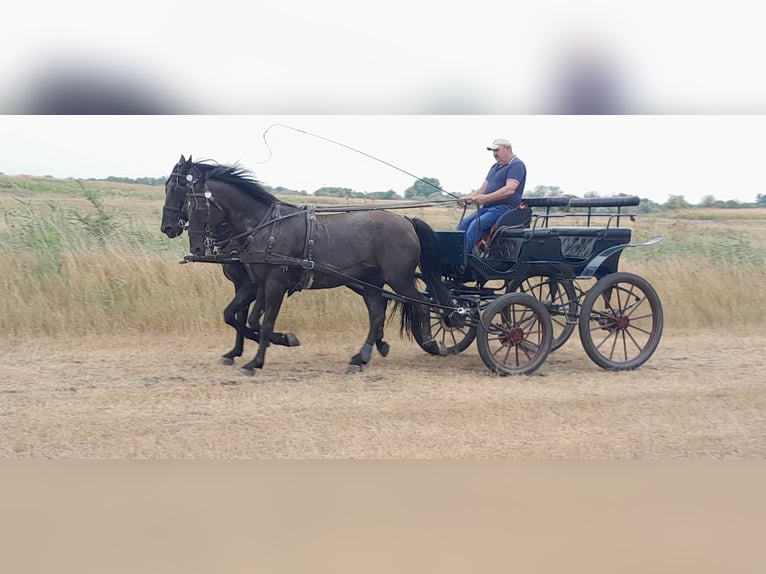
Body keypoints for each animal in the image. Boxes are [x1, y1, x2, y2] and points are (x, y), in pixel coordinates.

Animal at [162, 155, 300, 366]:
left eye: (179, 188)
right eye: (166, 186)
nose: (167, 227)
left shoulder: (251, 285)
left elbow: (234, 316)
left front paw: (280, 339)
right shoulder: (240, 284)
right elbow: (237, 317)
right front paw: (235, 352)